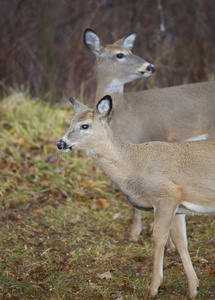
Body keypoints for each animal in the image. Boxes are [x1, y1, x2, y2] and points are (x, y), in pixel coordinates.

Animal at [57, 95, 215, 298]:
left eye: (84, 125)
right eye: (70, 122)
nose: (60, 143)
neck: (135, 165)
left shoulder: (166, 195)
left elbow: (158, 238)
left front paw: (154, 287)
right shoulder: (179, 206)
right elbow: (181, 241)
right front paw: (193, 288)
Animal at [83, 28, 215, 243]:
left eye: (130, 50)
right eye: (120, 55)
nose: (150, 67)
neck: (124, 113)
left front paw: (143, 234)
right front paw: (137, 233)